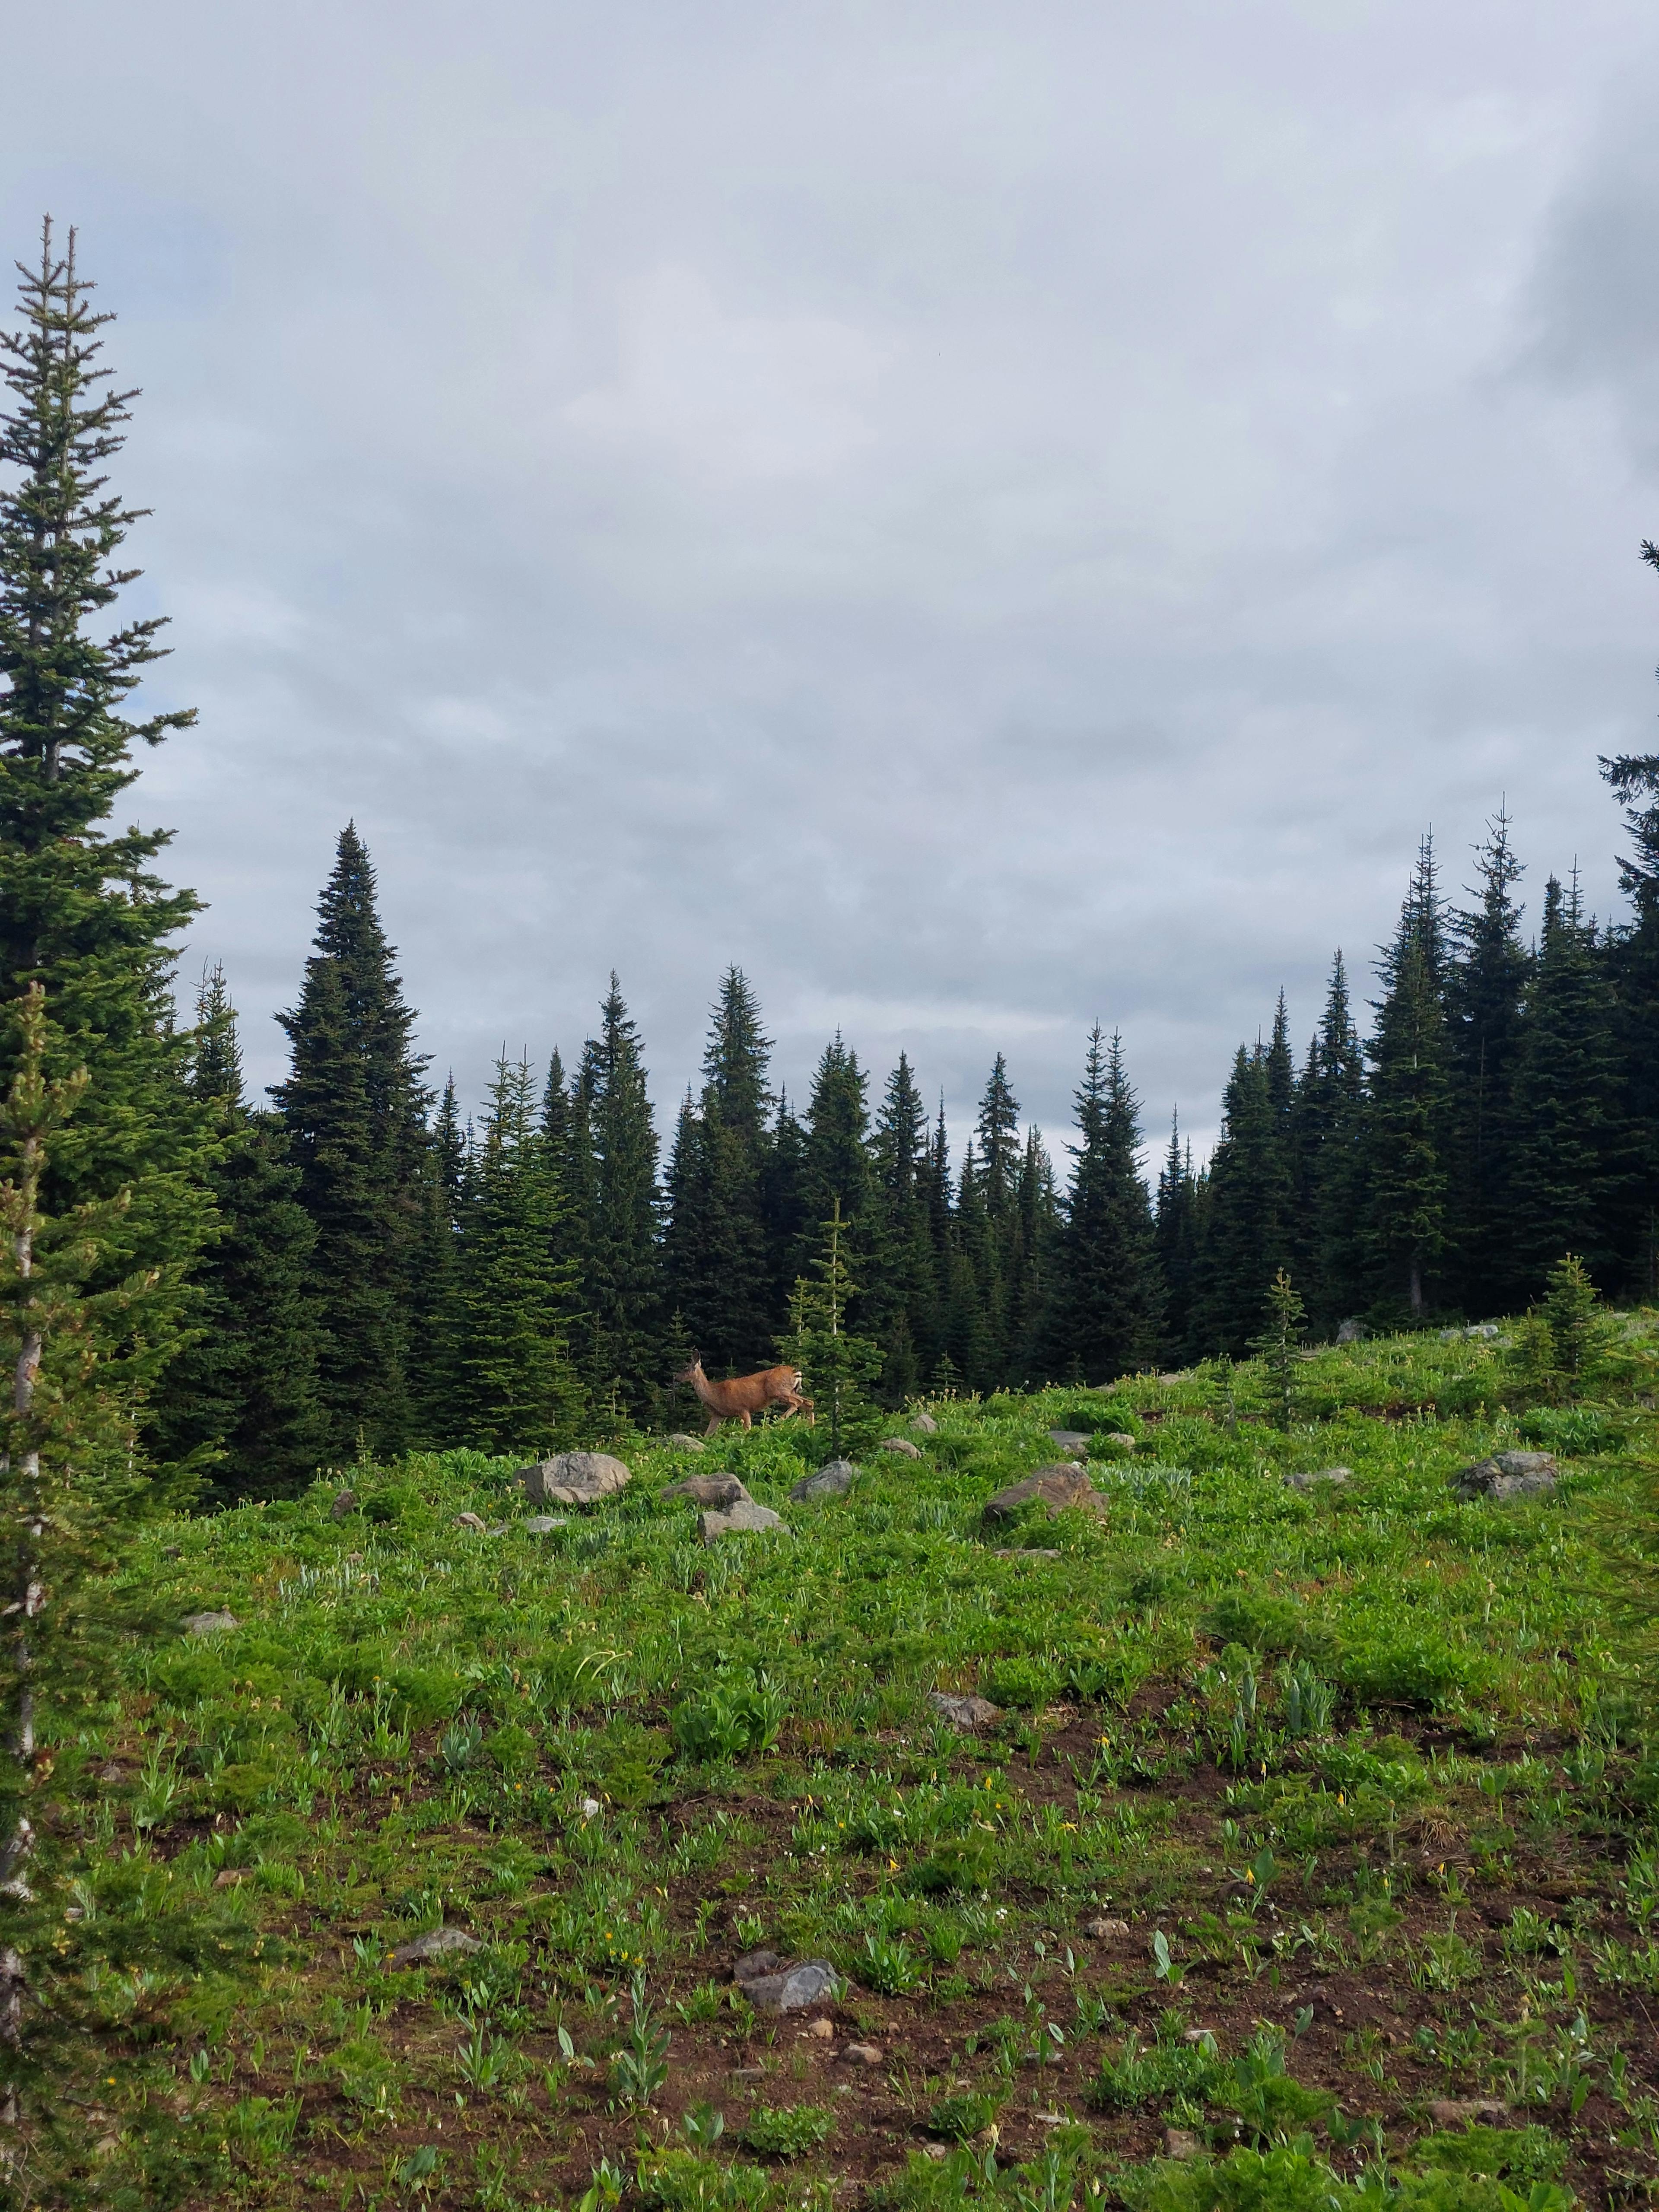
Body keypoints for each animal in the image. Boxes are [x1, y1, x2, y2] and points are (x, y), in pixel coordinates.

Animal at [677, 1354, 818, 1442]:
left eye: (686, 1368)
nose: (675, 1377)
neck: (716, 1395)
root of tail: (796, 1373)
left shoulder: (742, 1408)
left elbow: (747, 1429)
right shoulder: (718, 1415)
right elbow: (707, 1434)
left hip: (779, 1391)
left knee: (798, 1402)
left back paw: (778, 1422)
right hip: (791, 1391)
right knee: (809, 1402)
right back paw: (811, 1427)